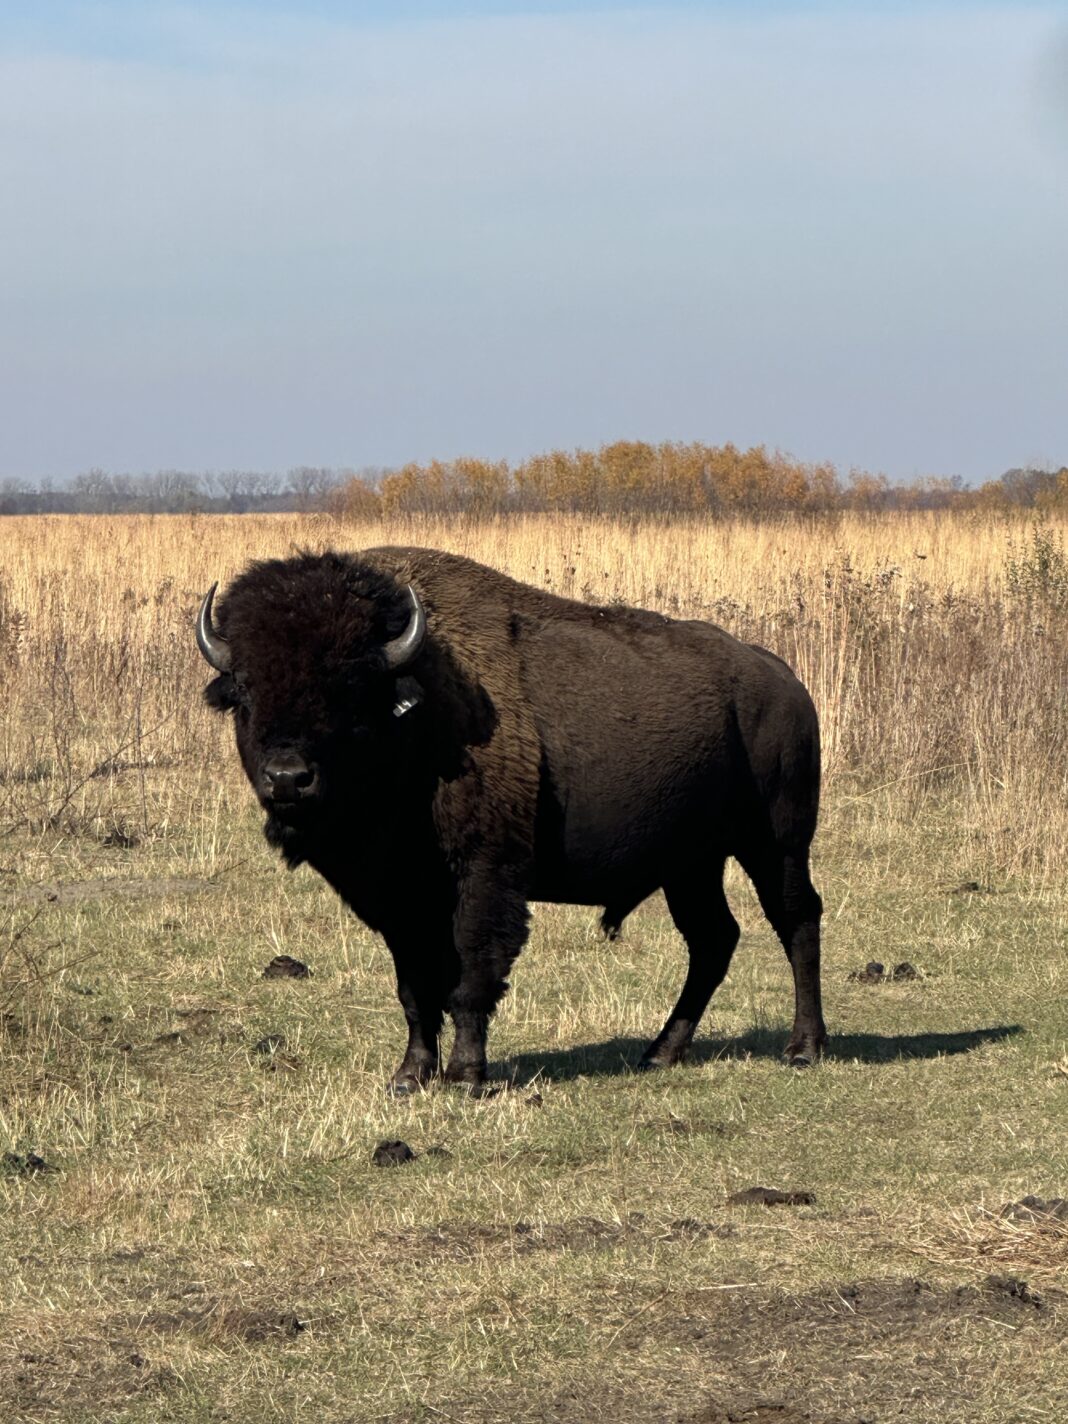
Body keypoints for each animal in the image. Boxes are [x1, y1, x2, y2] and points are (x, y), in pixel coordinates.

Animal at [197, 547, 826, 1092]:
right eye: (245, 690)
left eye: (349, 688)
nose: (287, 779)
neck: (419, 709)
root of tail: (783, 679)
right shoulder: (399, 898)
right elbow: (415, 987)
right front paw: (409, 1076)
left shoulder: (486, 872)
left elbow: (473, 973)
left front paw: (466, 1075)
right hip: (691, 865)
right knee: (713, 939)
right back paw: (660, 1052)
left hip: (776, 844)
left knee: (796, 919)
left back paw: (803, 1048)